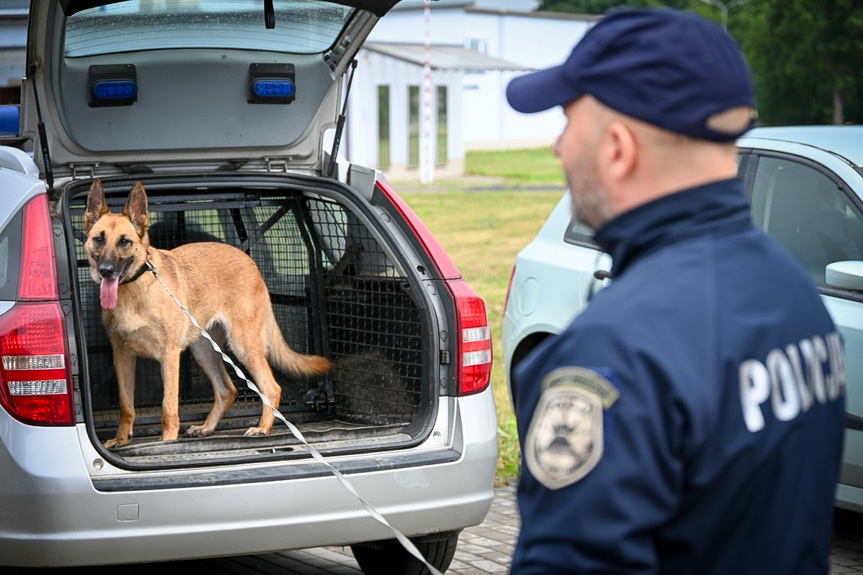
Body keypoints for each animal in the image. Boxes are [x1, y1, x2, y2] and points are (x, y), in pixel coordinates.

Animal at [83, 180, 334, 450]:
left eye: (124, 242)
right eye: (99, 239)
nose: (106, 271)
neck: (135, 288)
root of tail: (250, 261)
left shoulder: (169, 356)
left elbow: (168, 407)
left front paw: (167, 442)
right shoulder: (122, 356)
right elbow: (126, 406)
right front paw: (121, 440)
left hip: (242, 345)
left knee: (271, 387)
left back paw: (262, 428)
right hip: (203, 350)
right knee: (227, 391)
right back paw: (207, 428)